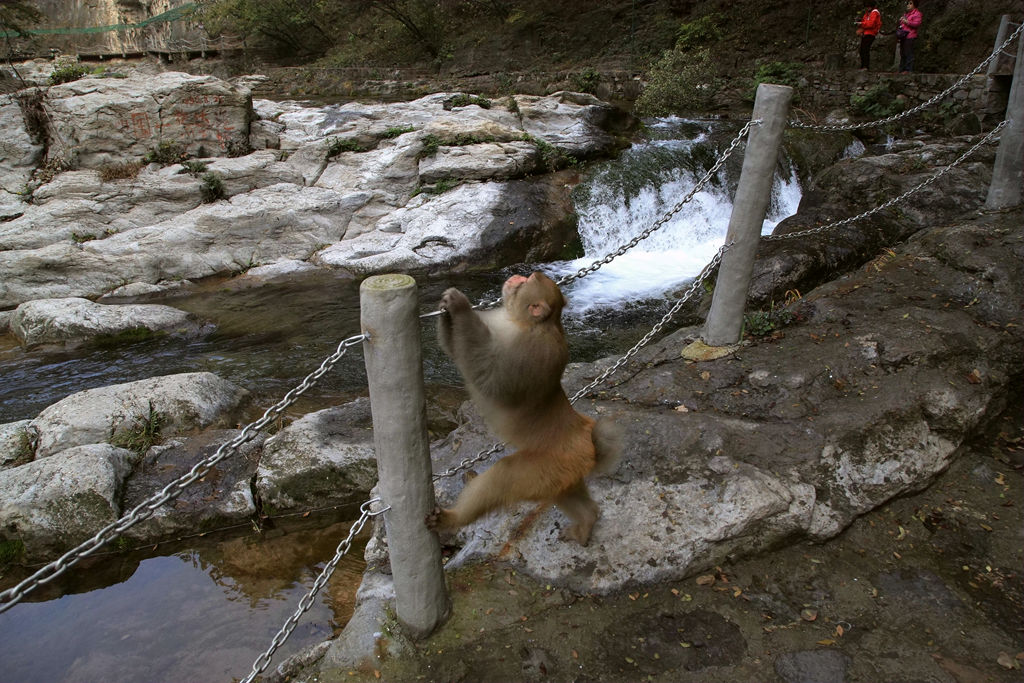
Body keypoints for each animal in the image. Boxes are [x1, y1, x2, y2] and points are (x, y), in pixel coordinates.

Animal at [425, 272, 618, 544]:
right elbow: (455, 351)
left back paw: (451, 519)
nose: (516, 276)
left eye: (526, 281)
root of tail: (588, 444)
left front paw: (459, 306)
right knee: (563, 491)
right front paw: (444, 308)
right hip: (561, 471)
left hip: (545, 465)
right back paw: (587, 521)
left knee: (503, 478)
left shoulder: (530, 351)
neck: (523, 322)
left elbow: (494, 381)